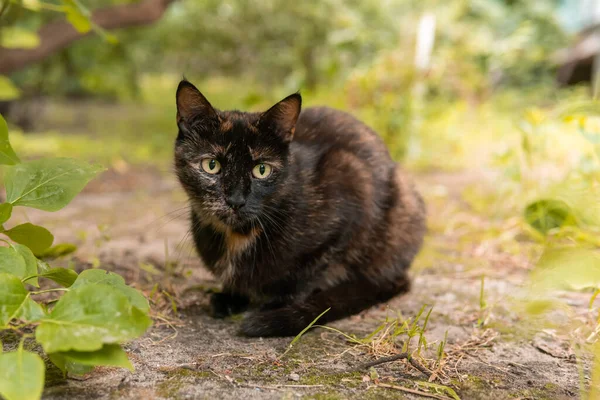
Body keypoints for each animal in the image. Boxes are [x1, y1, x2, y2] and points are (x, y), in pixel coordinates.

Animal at [173, 79, 426, 336]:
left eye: (262, 170)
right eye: (211, 165)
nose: (236, 200)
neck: (238, 236)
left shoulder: (352, 185)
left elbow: (310, 270)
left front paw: (278, 306)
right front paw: (231, 297)